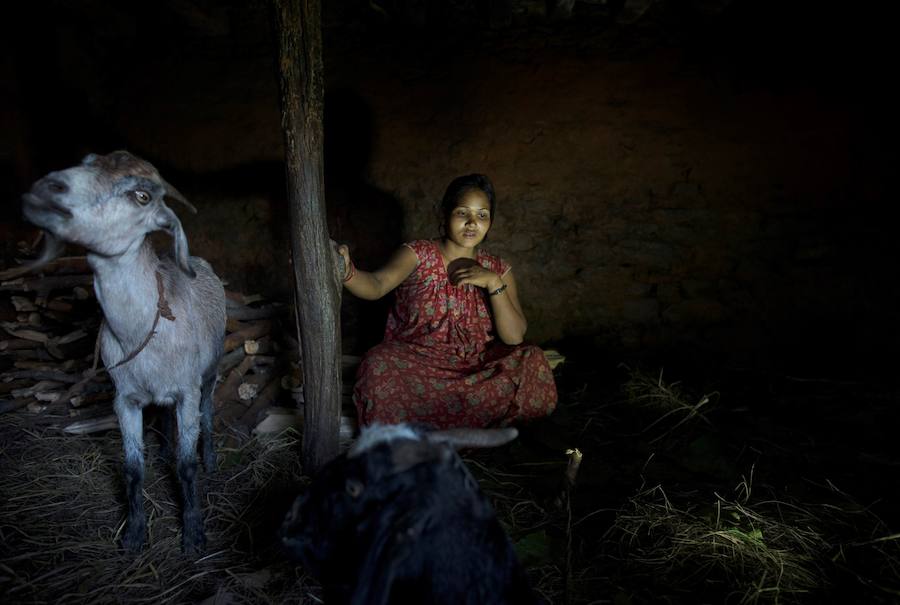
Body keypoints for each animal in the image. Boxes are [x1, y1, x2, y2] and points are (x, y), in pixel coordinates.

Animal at [19, 151, 227, 552]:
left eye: (142, 196)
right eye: (86, 162)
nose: (48, 188)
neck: (143, 331)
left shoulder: (187, 391)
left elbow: (186, 466)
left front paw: (193, 534)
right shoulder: (125, 399)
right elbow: (132, 469)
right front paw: (133, 535)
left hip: (211, 370)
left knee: (209, 411)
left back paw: (210, 457)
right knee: (163, 415)